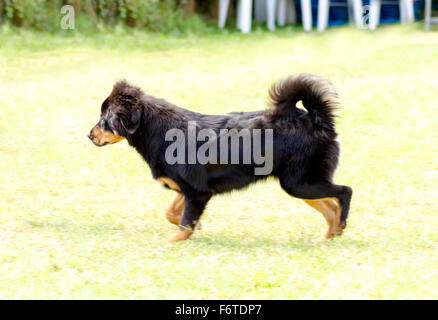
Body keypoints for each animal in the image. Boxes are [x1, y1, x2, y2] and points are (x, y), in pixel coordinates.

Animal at [88, 74, 352, 241]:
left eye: (104, 119)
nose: (89, 135)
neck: (159, 130)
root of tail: (316, 119)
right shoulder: (193, 190)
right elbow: (173, 213)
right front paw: (196, 227)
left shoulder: (197, 192)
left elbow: (182, 224)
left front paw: (176, 241)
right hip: (301, 184)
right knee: (330, 207)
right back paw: (329, 237)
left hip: (299, 183)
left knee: (344, 193)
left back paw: (340, 227)